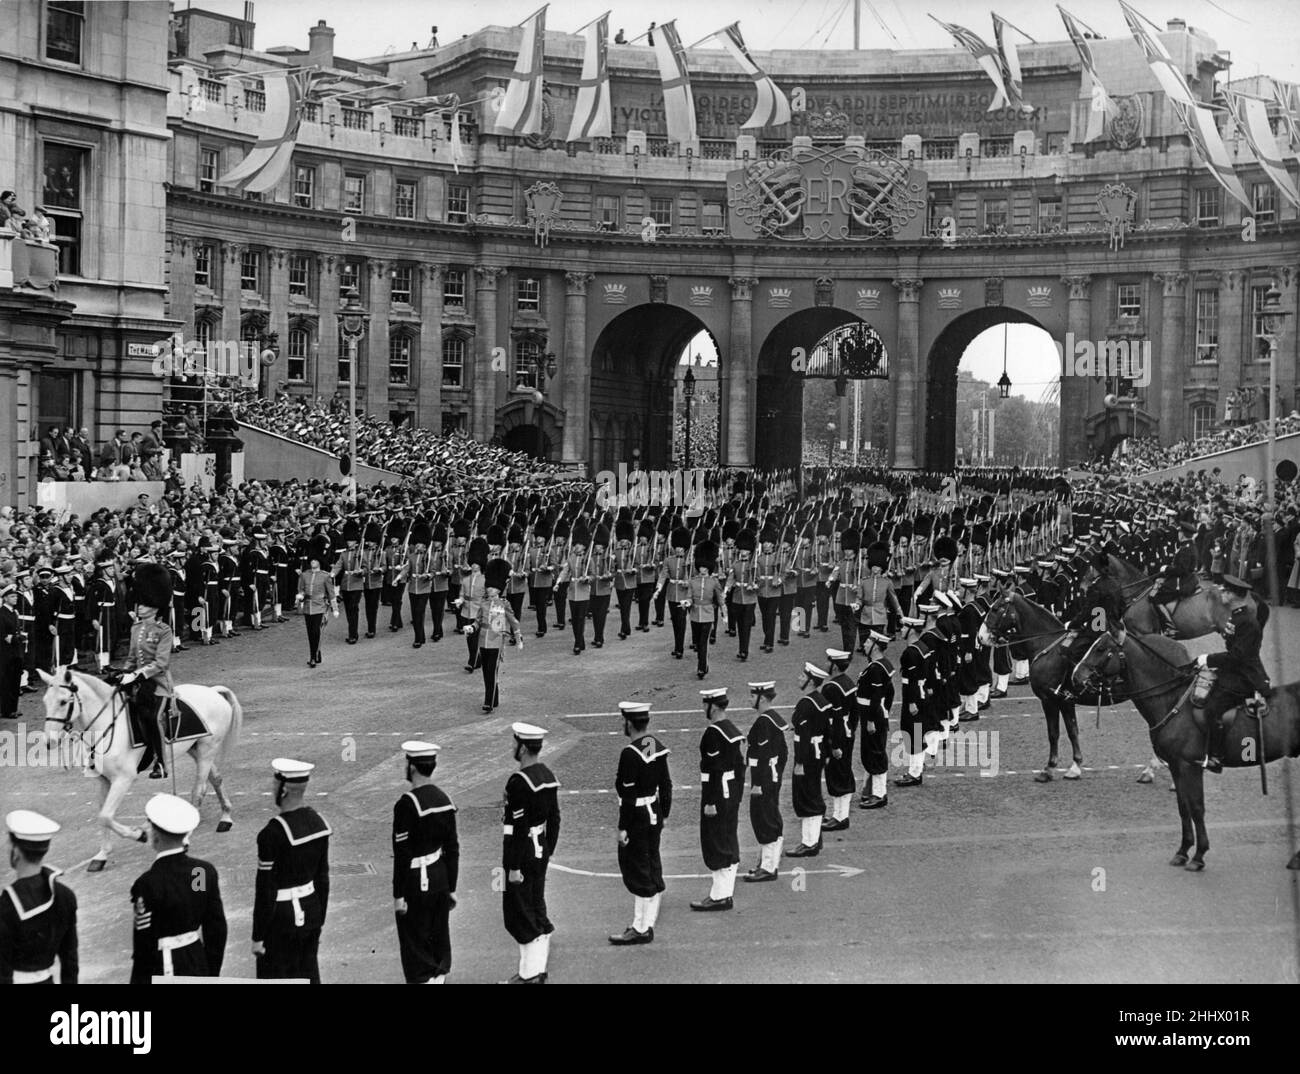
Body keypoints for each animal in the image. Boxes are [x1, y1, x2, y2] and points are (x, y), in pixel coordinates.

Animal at [39, 665, 243, 868]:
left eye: (63, 702)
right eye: (45, 701)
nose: (50, 742)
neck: (107, 725)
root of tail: (213, 691)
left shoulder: (123, 779)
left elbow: (106, 816)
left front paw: (139, 834)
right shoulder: (104, 780)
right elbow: (102, 815)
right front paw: (102, 855)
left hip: (207, 751)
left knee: (199, 790)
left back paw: (187, 836)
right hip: (196, 750)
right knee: (216, 778)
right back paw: (226, 817)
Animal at [1071, 626, 1300, 868]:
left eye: (1101, 648)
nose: (1075, 675)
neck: (1172, 701)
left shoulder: (1191, 765)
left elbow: (1197, 808)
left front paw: (1199, 855)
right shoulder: (1176, 765)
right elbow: (1183, 807)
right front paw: (1183, 851)